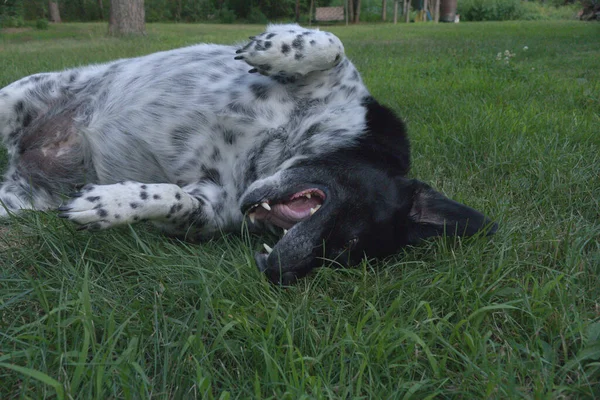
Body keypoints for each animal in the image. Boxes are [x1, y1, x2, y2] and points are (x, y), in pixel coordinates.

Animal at [0, 24, 496, 284]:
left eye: (341, 255)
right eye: (347, 239)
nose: (275, 271)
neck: (285, 144)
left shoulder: (208, 203)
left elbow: (169, 198)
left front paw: (109, 204)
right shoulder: (354, 96)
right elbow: (333, 46)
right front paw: (276, 47)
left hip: (12, 201)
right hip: (13, 98)